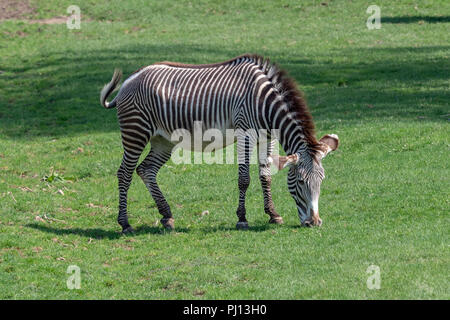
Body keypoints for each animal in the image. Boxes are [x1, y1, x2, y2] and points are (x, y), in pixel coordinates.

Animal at [98, 54, 338, 232]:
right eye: (300, 182)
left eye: (322, 181)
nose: (314, 223)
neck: (264, 102)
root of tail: (130, 79)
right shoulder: (245, 133)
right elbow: (244, 179)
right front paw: (242, 219)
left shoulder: (268, 137)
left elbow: (266, 176)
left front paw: (273, 214)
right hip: (136, 132)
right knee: (125, 173)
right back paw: (125, 223)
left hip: (162, 140)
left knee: (146, 170)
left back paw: (167, 216)